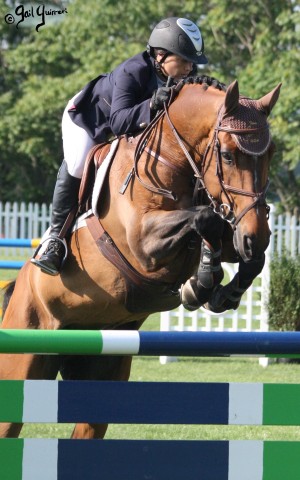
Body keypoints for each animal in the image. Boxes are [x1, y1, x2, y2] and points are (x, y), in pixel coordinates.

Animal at [0, 76, 282, 438]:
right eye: (228, 156)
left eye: (270, 154)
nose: (256, 236)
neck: (170, 159)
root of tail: (19, 287)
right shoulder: (143, 243)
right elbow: (206, 219)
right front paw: (200, 284)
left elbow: (242, 251)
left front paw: (220, 291)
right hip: (25, 361)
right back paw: (49, 254)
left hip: (101, 368)